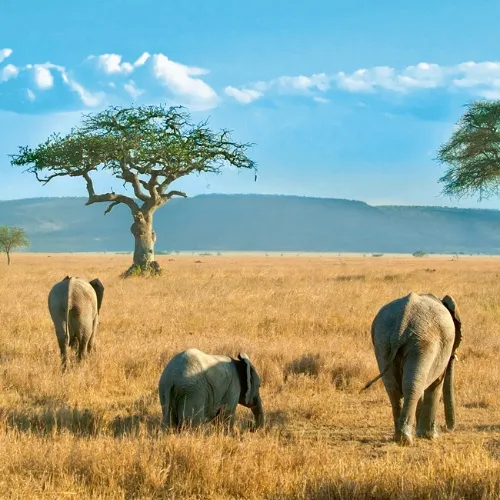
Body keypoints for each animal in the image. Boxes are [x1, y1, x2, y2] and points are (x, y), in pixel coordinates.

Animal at [362, 292, 462, 446]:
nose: (445, 427)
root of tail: (402, 323)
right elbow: (436, 384)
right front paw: (431, 436)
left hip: (383, 341)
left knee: (395, 387)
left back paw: (398, 437)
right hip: (422, 343)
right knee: (412, 386)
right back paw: (405, 440)